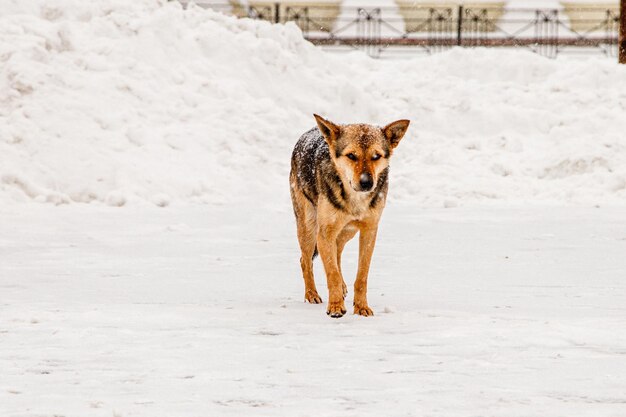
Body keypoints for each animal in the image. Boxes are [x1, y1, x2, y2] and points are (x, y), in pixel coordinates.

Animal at [288, 112, 410, 316]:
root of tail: (307, 133)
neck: (355, 200)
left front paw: (361, 307)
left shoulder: (369, 231)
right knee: (305, 260)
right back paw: (312, 294)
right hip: (308, 229)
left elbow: (361, 276)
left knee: (337, 252)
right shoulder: (325, 232)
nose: (367, 182)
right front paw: (336, 307)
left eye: (376, 156)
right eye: (351, 156)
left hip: (348, 232)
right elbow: (332, 273)